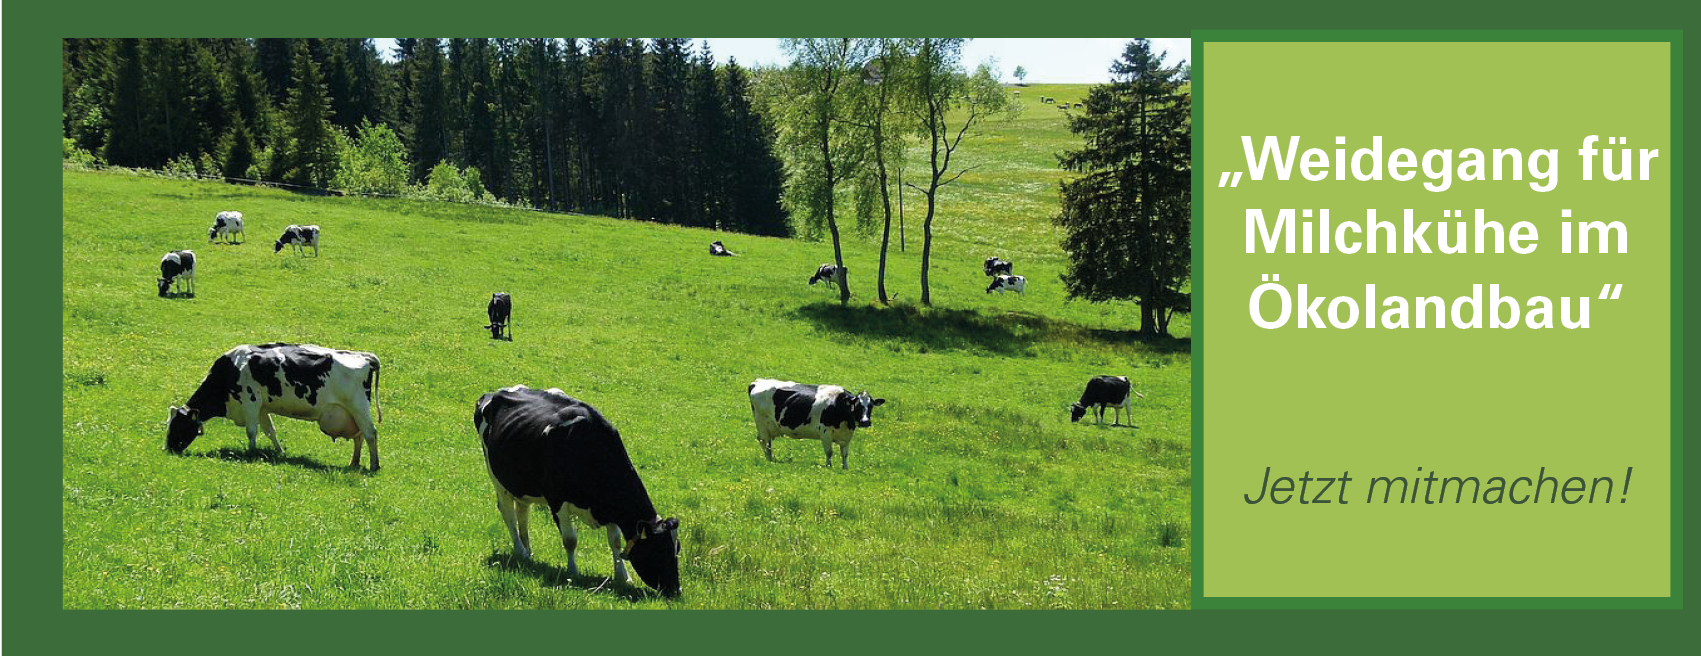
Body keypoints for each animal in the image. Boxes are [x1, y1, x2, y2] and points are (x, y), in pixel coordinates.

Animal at [165, 343, 384, 470]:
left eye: (178, 426)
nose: (167, 449)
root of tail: (364, 356)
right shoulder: (262, 408)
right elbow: (270, 431)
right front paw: (280, 452)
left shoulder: (250, 401)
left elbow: (251, 431)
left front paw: (251, 453)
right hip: (351, 413)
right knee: (359, 436)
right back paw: (354, 463)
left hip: (358, 406)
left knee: (370, 434)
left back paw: (374, 465)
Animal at [473, 385, 682, 598]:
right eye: (658, 550)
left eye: (677, 549)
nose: (676, 590)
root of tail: (493, 393)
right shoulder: (557, 501)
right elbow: (570, 540)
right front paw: (572, 573)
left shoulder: (610, 508)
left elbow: (615, 541)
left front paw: (623, 576)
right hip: (497, 478)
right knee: (508, 514)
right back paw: (520, 551)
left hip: (522, 485)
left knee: (522, 513)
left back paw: (528, 553)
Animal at [748, 378, 885, 469]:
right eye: (857, 406)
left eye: (871, 406)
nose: (865, 422)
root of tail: (757, 381)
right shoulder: (825, 432)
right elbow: (829, 452)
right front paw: (829, 466)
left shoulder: (847, 435)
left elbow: (845, 453)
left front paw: (845, 468)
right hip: (761, 423)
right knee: (764, 442)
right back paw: (769, 460)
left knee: (767, 443)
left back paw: (771, 459)